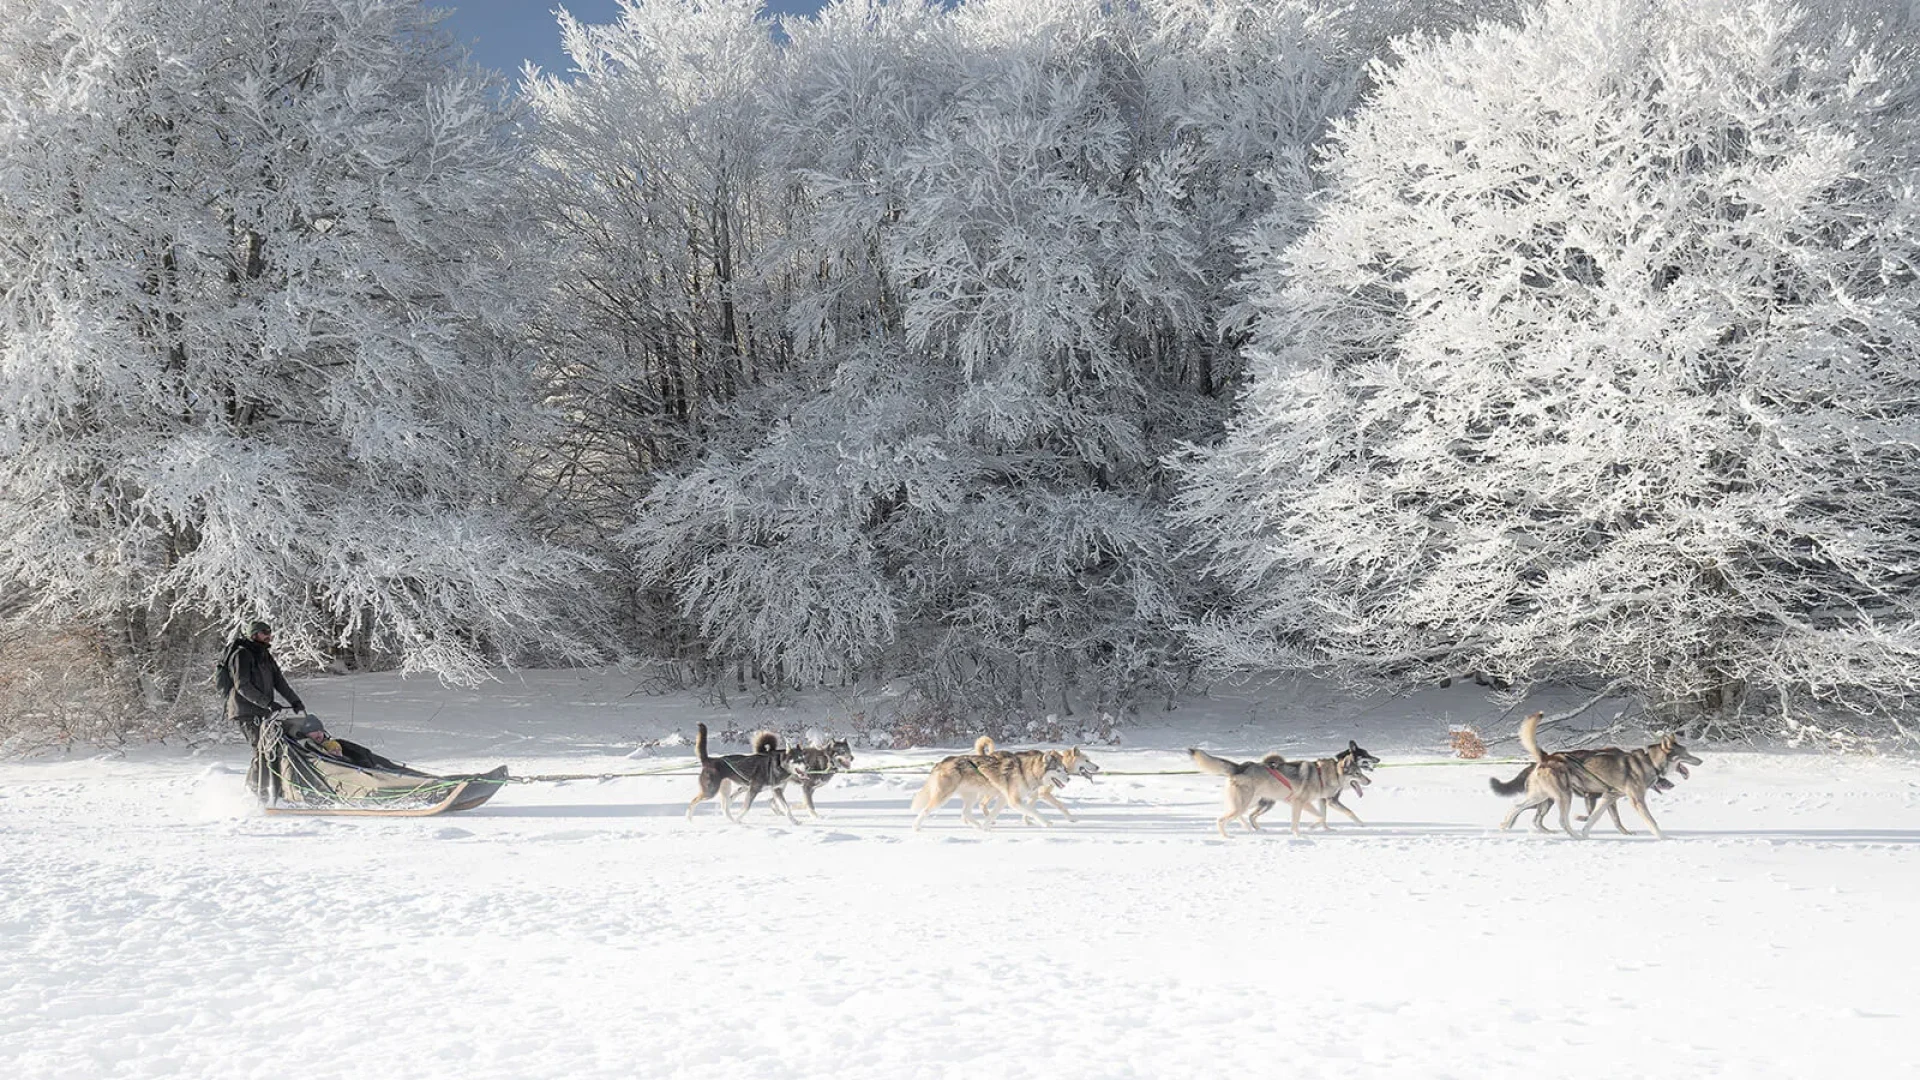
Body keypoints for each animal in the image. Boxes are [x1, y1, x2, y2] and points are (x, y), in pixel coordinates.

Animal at [1190, 734, 1374, 837]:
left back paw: (1252, 830)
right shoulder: (1300, 803)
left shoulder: (1308, 802)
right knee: (1222, 820)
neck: (1324, 775)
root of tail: (1240, 766)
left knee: (1242, 816)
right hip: (1245, 803)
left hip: (1250, 802)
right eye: (1357, 773)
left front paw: (1312, 828)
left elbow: (1321, 817)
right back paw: (1227, 837)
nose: (1369, 781)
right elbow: (1304, 820)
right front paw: (1300, 835)